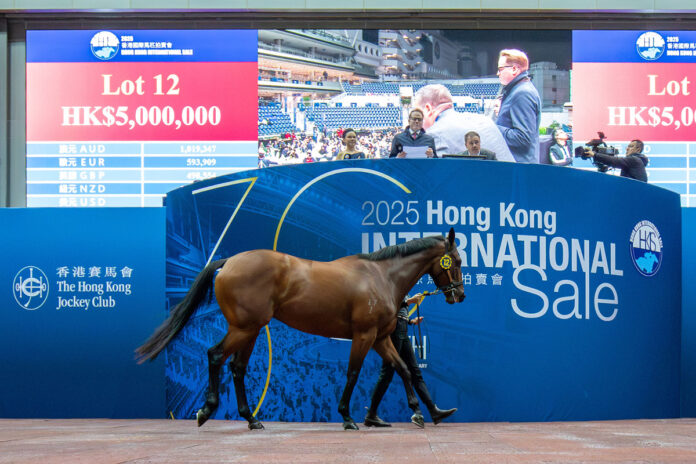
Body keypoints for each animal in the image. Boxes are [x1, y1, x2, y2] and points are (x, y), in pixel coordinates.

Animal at [136, 227, 464, 430]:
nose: (459, 295)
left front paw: (420, 412)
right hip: (243, 328)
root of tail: (228, 262)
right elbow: (353, 373)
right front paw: (347, 417)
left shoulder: (381, 338)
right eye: (457, 260)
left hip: (251, 330)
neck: (380, 276)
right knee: (216, 356)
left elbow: (403, 369)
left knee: (238, 368)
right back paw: (207, 411)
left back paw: (251, 419)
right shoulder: (364, 335)